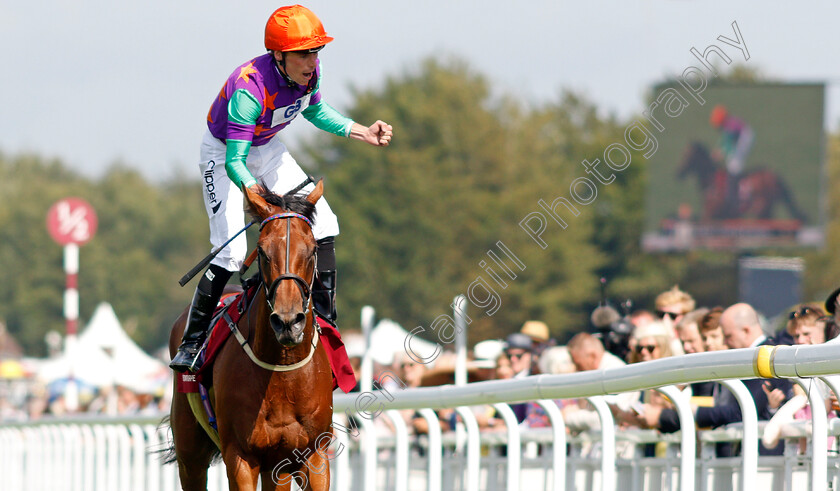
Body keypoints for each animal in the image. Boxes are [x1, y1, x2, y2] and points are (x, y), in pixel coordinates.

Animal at [166, 182, 334, 491]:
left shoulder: (312, 455)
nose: (288, 322)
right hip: (190, 454)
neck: (282, 371)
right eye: (263, 251)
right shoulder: (240, 456)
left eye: (313, 250)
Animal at [676, 140, 808, 221]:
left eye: (687, 155)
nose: (678, 173)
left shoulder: (710, 214)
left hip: (762, 208)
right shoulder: (725, 216)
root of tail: (774, 175)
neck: (711, 181)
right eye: (682, 154)